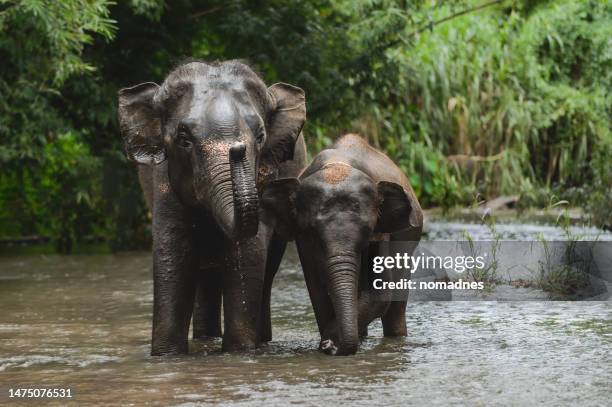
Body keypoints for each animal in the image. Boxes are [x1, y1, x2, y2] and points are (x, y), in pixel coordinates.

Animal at [117, 59, 306, 356]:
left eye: (261, 136)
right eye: (183, 138)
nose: (237, 149)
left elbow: (247, 255)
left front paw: (240, 352)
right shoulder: (163, 182)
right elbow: (173, 256)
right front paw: (166, 355)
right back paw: (206, 338)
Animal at [260, 135, 424, 356]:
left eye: (368, 231)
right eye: (313, 232)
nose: (330, 346)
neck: (338, 165)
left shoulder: (382, 233)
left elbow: (380, 290)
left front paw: (330, 343)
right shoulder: (303, 242)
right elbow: (317, 290)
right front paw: (329, 343)